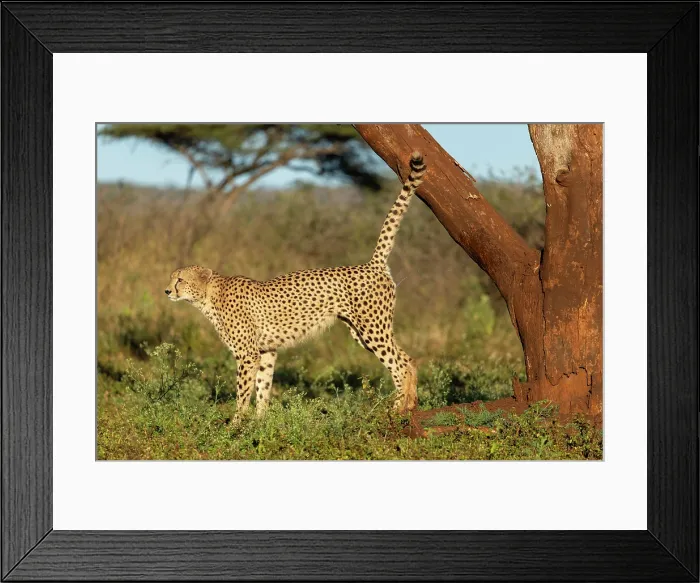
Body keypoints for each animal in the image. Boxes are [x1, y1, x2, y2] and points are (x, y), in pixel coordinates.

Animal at [165, 152, 427, 419]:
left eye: (180, 280)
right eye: (172, 278)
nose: (167, 290)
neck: (209, 297)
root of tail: (372, 264)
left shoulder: (248, 354)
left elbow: (243, 392)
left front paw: (237, 422)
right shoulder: (266, 351)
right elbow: (263, 387)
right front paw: (260, 420)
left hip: (373, 328)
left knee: (399, 364)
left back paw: (397, 409)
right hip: (362, 330)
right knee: (408, 359)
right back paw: (411, 404)